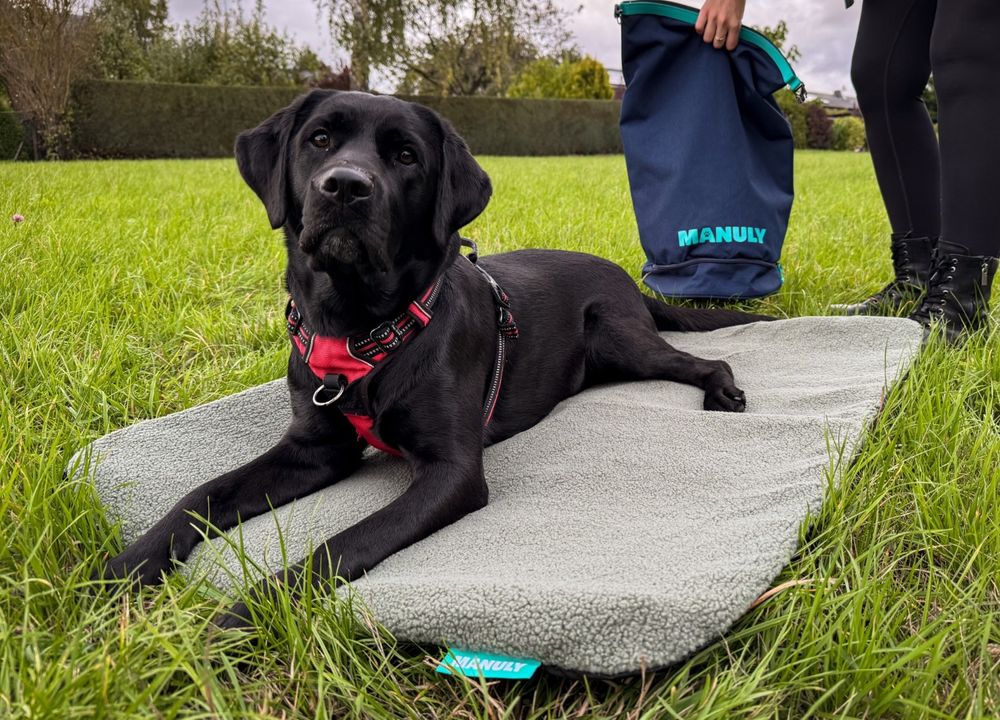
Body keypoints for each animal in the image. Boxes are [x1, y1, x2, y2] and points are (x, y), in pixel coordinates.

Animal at [97, 90, 768, 628]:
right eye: (319, 140)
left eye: (405, 156)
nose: (345, 185)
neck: (360, 331)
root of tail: (624, 275)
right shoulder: (314, 449)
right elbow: (200, 495)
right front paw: (119, 570)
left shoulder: (452, 472)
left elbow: (342, 545)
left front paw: (245, 617)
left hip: (621, 341)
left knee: (701, 361)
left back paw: (722, 392)